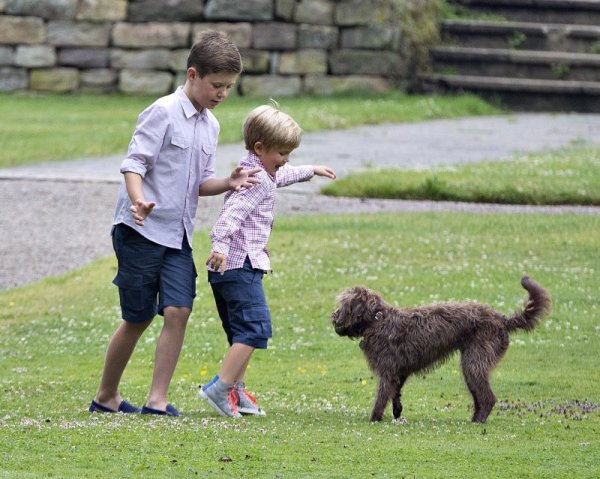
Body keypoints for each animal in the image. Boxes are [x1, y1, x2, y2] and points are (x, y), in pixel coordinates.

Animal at [330, 276, 552, 422]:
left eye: (344, 304)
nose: (333, 316)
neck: (377, 320)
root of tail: (501, 319)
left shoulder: (387, 371)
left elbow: (382, 396)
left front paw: (375, 418)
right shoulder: (398, 373)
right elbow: (396, 394)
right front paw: (397, 412)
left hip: (473, 362)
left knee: (488, 397)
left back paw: (478, 421)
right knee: (480, 396)